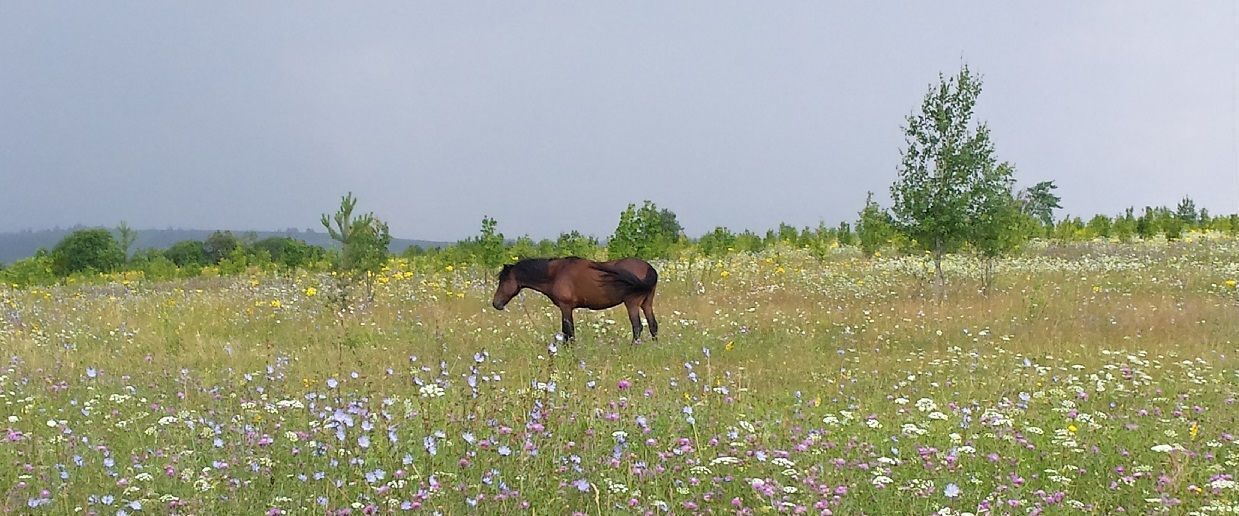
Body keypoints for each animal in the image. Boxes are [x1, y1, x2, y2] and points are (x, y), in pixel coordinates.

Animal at [490, 256, 659, 342]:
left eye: (503, 280)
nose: (495, 303)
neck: (555, 273)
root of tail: (649, 268)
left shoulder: (566, 307)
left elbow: (568, 332)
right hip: (647, 304)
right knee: (653, 326)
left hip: (632, 304)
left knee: (637, 327)